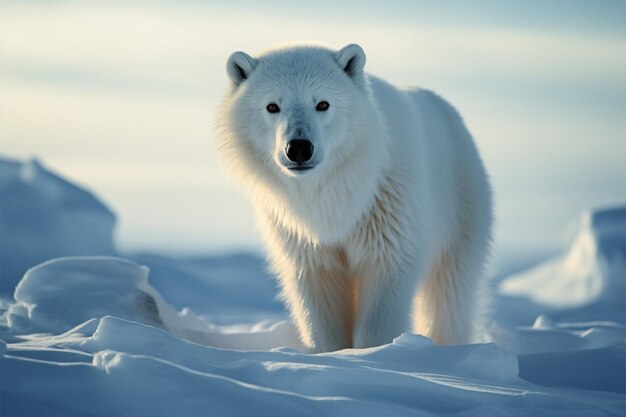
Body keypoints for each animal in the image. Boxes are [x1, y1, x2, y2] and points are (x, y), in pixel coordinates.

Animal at [217, 44, 490, 352]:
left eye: (323, 104)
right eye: (272, 106)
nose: (299, 148)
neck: (336, 190)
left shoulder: (387, 209)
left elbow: (386, 276)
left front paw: (373, 351)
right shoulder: (301, 235)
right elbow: (319, 291)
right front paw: (332, 351)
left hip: (462, 208)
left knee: (449, 294)